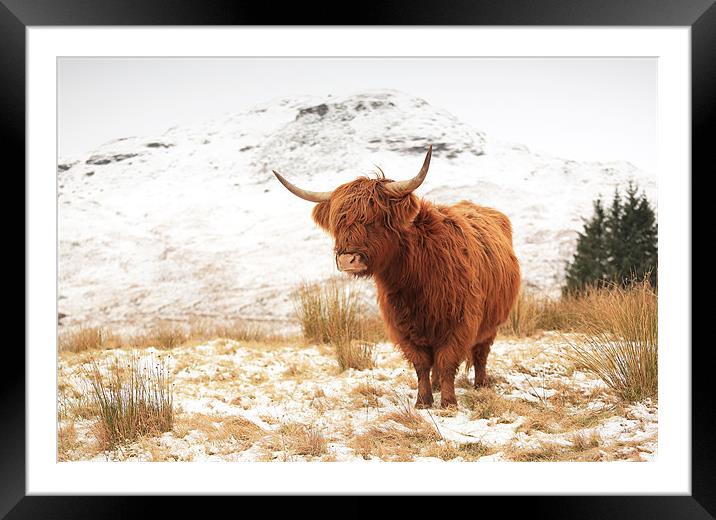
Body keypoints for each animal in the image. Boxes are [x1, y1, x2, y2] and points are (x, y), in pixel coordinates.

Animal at [274, 144, 520, 408]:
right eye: (338, 223)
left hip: (492, 321)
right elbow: (422, 364)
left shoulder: (459, 322)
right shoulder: (402, 326)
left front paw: (448, 402)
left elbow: (446, 361)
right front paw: (423, 401)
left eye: (372, 219)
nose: (347, 259)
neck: (415, 279)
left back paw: (481, 384)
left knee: (481, 353)